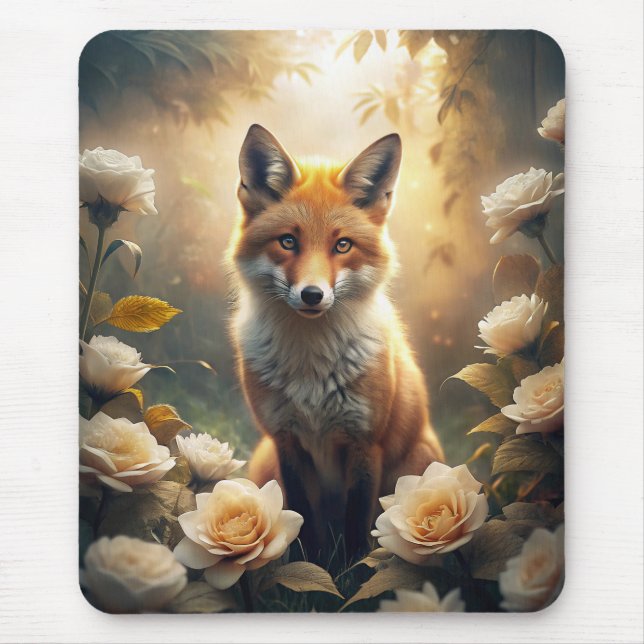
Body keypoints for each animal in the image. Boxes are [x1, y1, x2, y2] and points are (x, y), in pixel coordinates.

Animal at [227, 124, 444, 560]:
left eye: (342, 245)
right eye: (288, 242)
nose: (312, 295)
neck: (311, 366)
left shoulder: (365, 443)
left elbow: (358, 532)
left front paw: (354, 572)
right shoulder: (286, 441)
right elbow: (304, 524)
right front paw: (310, 570)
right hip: (264, 464)